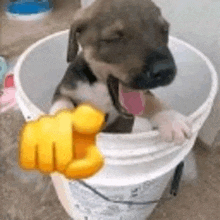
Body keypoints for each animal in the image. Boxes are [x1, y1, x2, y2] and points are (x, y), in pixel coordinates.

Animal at [50, 0, 192, 144]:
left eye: (165, 30)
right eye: (114, 38)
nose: (165, 70)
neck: (101, 89)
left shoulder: (141, 95)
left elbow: (153, 101)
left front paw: (171, 119)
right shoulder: (63, 90)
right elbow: (62, 105)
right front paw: (59, 124)